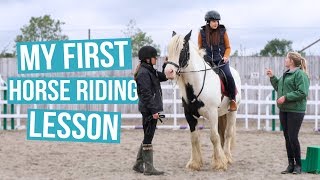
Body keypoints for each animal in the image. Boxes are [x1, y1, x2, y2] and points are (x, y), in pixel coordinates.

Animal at [165, 30, 240, 171]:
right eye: (168, 49)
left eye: (182, 49)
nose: (169, 72)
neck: (197, 83)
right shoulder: (189, 115)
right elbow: (194, 138)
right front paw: (195, 163)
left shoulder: (212, 113)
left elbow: (214, 137)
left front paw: (220, 163)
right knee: (221, 134)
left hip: (232, 112)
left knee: (227, 134)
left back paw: (227, 157)